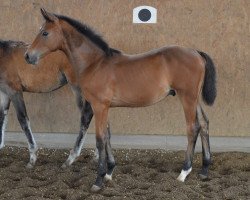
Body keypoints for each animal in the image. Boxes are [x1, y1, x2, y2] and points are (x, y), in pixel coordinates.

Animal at [0, 39, 102, 168]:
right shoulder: (4, 93)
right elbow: (2, 118)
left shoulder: (14, 91)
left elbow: (23, 120)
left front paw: (32, 158)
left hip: (79, 89)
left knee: (86, 117)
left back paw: (72, 158)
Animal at [25, 9, 217, 192]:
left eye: (45, 33)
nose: (28, 56)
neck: (94, 63)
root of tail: (197, 53)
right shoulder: (104, 107)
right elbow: (108, 136)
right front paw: (109, 172)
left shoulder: (98, 106)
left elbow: (100, 139)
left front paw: (98, 180)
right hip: (195, 99)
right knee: (204, 123)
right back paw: (204, 170)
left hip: (187, 98)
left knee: (193, 128)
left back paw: (184, 172)